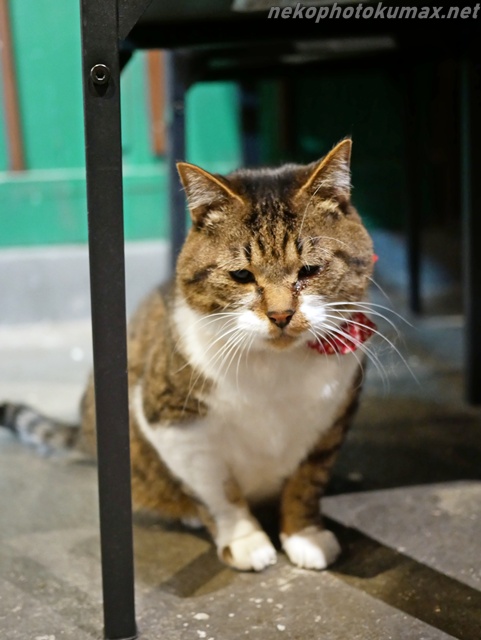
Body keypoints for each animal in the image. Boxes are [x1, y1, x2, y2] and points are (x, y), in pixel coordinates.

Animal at [1, 138, 376, 572]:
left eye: (310, 270)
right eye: (242, 276)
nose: (281, 315)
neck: (275, 369)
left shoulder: (334, 418)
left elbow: (307, 481)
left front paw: (305, 535)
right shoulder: (171, 422)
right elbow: (218, 491)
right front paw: (245, 540)